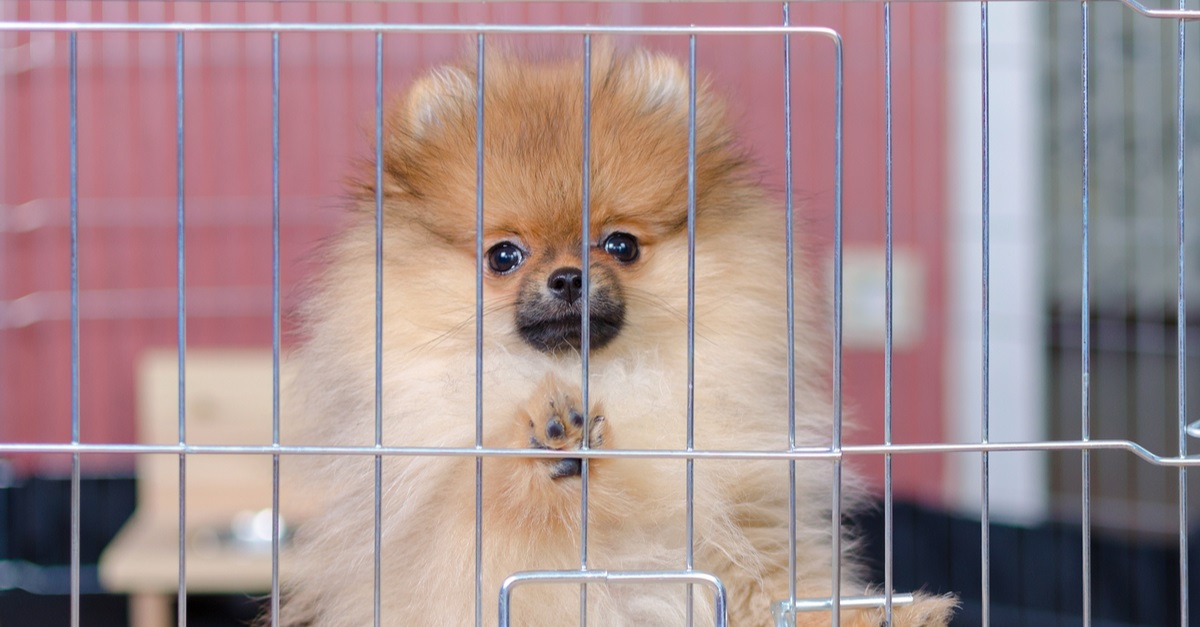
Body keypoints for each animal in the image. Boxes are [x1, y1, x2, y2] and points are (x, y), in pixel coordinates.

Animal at [276, 45, 950, 624]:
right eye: (503, 256)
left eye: (620, 245)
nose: (569, 276)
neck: (607, 378)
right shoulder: (449, 543)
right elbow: (485, 513)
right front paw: (547, 435)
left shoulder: (744, 523)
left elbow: (781, 590)